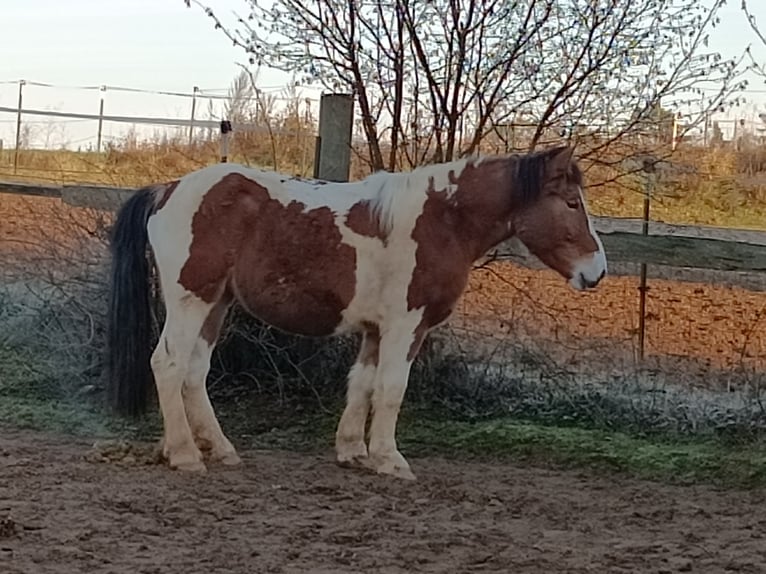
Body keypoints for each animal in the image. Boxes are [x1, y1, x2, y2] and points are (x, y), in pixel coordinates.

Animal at [105, 144, 606, 480]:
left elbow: (362, 384)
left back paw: (217, 449)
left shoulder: (376, 329)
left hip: (215, 305)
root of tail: (167, 190)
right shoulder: (407, 326)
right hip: (192, 301)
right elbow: (391, 390)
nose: (597, 272)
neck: (441, 221)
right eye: (571, 203)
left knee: (193, 372)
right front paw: (389, 458)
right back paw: (185, 454)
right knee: (168, 365)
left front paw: (353, 450)